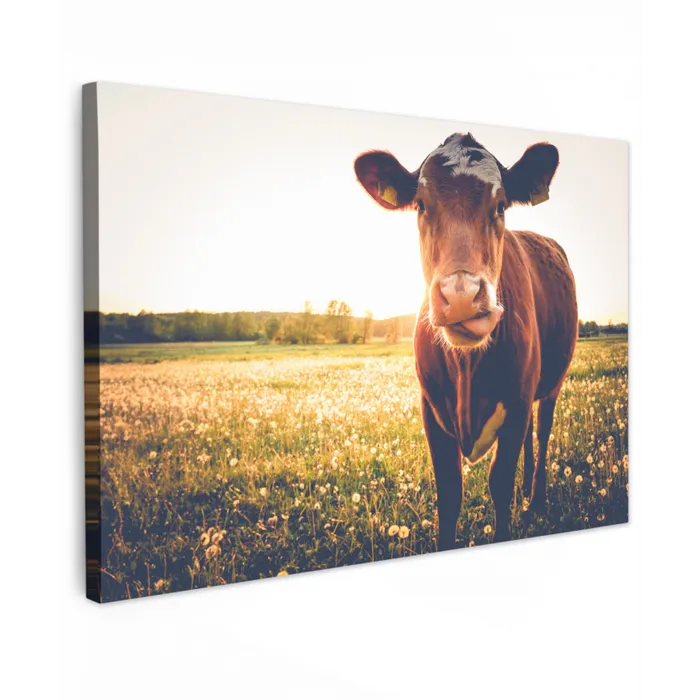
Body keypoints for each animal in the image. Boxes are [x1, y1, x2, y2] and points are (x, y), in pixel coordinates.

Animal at [354, 133, 578, 549]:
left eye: (501, 205)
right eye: (421, 205)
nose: (460, 295)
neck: (467, 369)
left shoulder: (518, 400)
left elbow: (499, 482)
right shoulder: (430, 408)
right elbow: (450, 493)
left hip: (552, 382)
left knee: (542, 432)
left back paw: (535, 498)